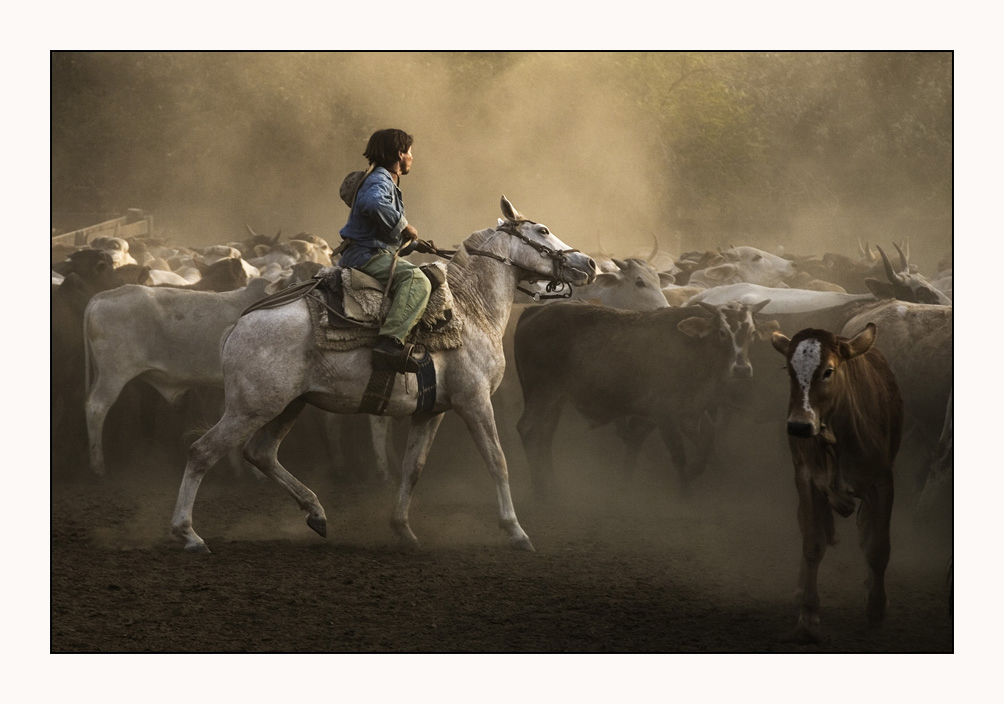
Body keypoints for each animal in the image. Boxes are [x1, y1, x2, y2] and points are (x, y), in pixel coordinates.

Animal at [171, 196, 594, 550]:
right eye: (542, 231)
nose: (587, 264)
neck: (470, 309)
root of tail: (237, 326)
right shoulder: (474, 401)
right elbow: (497, 461)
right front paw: (516, 531)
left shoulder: (432, 411)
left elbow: (412, 468)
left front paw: (403, 529)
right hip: (252, 407)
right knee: (202, 452)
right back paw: (188, 534)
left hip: (289, 404)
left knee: (261, 453)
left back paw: (317, 513)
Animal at [771, 323, 907, 642]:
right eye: (789, 370)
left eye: (828, 371)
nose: (799, 425)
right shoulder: (806, 479)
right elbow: (812, 544)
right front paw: (808, 616)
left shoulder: (883, 481)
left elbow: (877, 546)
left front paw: (876, 609)